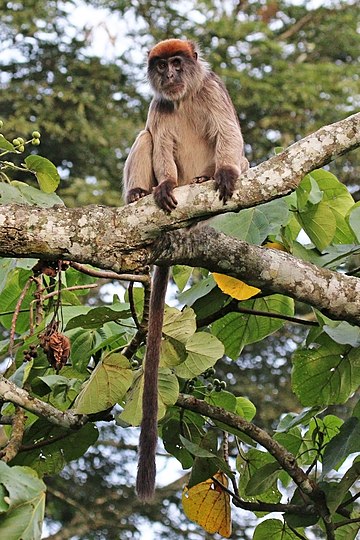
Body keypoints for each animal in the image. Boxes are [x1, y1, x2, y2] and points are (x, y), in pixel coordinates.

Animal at [122, 39, 249, 502]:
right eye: (161, 66)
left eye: (178, 63)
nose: (170, 74)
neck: (185, 95)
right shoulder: (160, 106)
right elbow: (159, 139)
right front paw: (160, 188)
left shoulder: (213, 89)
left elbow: (229, 133)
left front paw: (225, 173)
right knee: (146, 136)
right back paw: (140, 194)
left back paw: (207, 179)